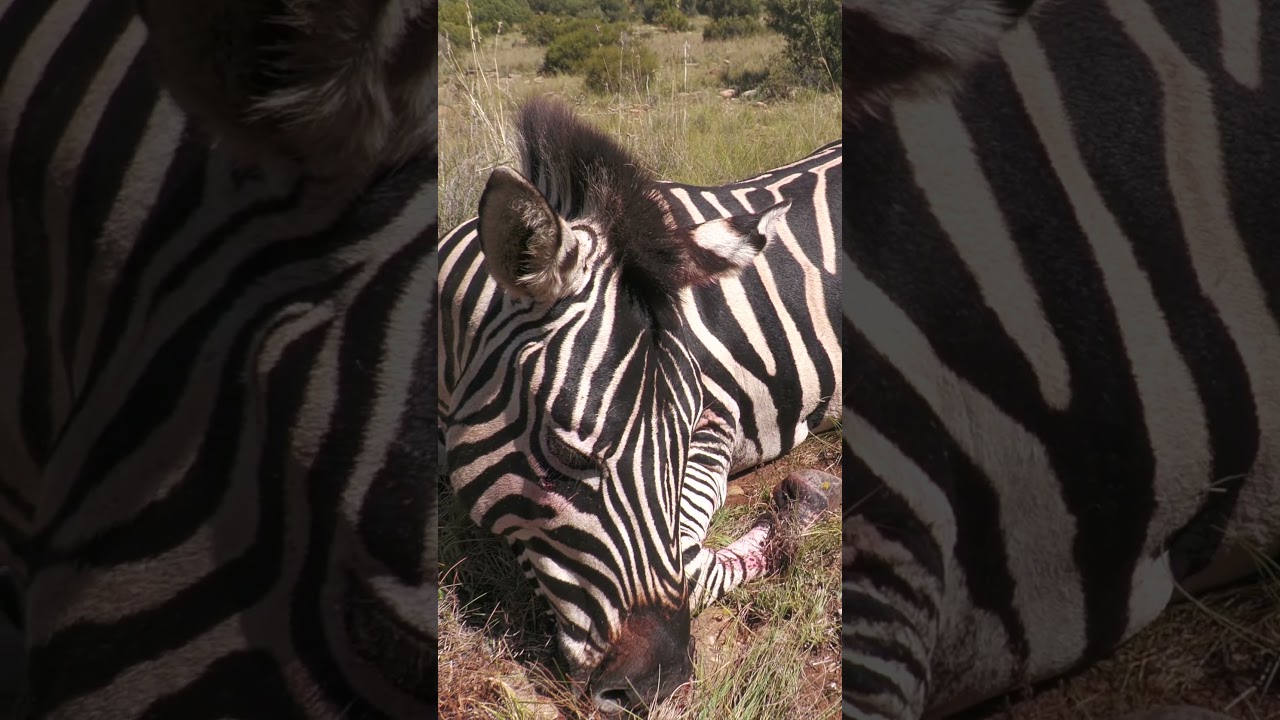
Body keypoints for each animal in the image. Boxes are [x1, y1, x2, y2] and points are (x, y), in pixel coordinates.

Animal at [438, 98, 843, 715]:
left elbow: (690, 563)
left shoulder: (717, 420)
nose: (657, 686)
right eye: (566, 454)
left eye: (684, 434)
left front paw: (805, 505)